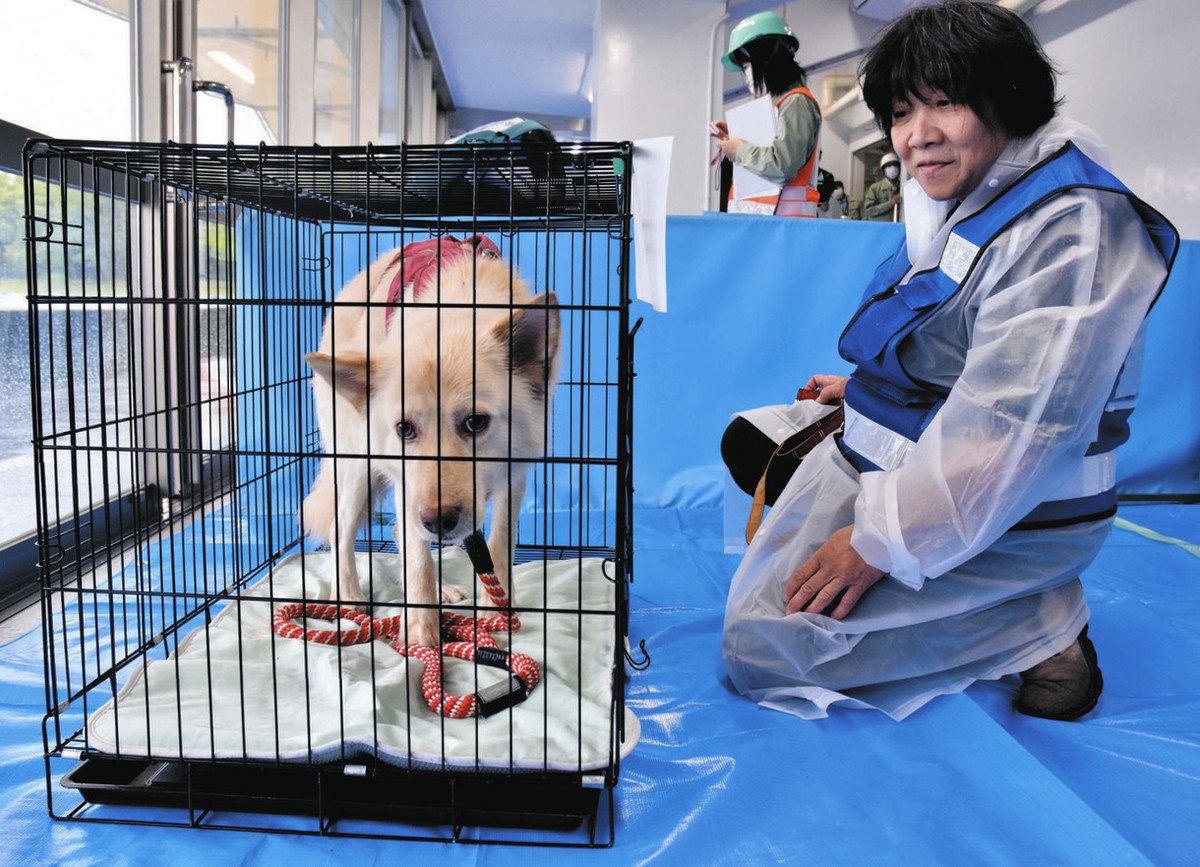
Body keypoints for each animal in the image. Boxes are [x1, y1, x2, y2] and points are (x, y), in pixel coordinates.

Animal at [302, 241, 559, 643]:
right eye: (405, 428)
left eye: (475, 422)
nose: (439, 521)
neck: (455, 308)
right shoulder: (406, 480)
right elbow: (418, 559)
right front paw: (421, 635)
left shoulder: (513, 475)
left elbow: (500, 543)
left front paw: (496, 611)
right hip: (359, 464)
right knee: (341, 527)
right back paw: (350, 598)